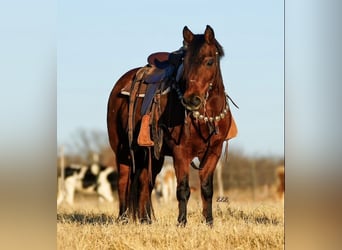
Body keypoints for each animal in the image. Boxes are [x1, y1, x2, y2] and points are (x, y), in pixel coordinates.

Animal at [107, 25, 235, 227]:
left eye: (209, 62)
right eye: (185, 62)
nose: (191, 100)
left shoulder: (214, 151)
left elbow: (207, 188)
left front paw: (209, 222)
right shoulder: (180, 152)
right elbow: (182, 189)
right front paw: (182, 222)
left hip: (152, 156)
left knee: (144, 183)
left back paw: (145, 220)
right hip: (123, 151)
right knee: (123, 182)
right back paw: (124, 219)